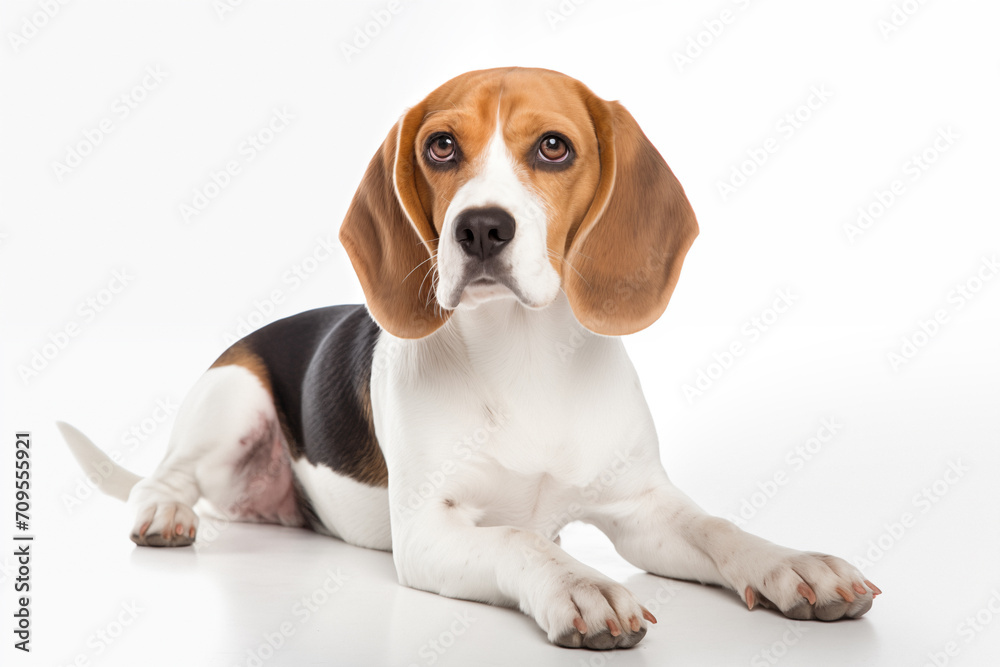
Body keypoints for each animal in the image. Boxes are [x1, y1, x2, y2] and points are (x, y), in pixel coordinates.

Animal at [58, 66, 880, 648]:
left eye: (554, 146)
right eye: (441, 146)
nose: (481, 227)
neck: (525, 359)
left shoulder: (644, 509)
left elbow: (720, 529)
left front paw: (793, 563)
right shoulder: (429, 531)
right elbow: (519, 538)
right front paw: (578, 584)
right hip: (231, 401)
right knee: (162, 476)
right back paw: (164, 512)